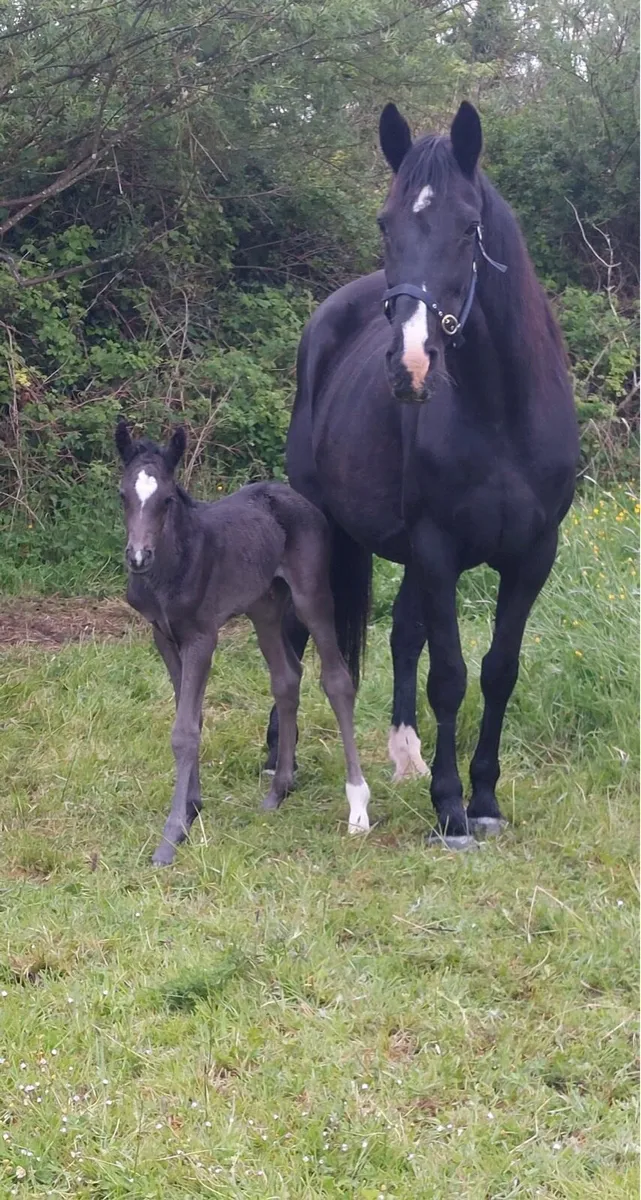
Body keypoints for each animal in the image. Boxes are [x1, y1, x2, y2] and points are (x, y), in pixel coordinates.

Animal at [115, 420, 370, 865]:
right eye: (123, 495)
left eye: (166, 499)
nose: (138, 557)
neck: (173, 565)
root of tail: (298, 499)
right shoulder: (163, 635)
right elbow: (191, 718)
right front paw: (192, 808)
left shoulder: (202, 636)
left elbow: (184, 731)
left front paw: (171, 835)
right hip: (263, 606)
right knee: (286, 679)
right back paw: (279, 790)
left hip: (311, 596)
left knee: (337, 680)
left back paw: (358, 807)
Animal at [265, 101, 579, 848]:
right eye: (386, 223)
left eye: (468, 227)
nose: (410, 364)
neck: (503, 413)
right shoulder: (438, 550)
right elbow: (451, 676)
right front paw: (450, 807)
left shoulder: (532, 555)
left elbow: (497, 670)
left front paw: (485, 798)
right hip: (319, 527)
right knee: (294, 633)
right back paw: (277, 757)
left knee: (402, 634)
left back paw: (403, 753)